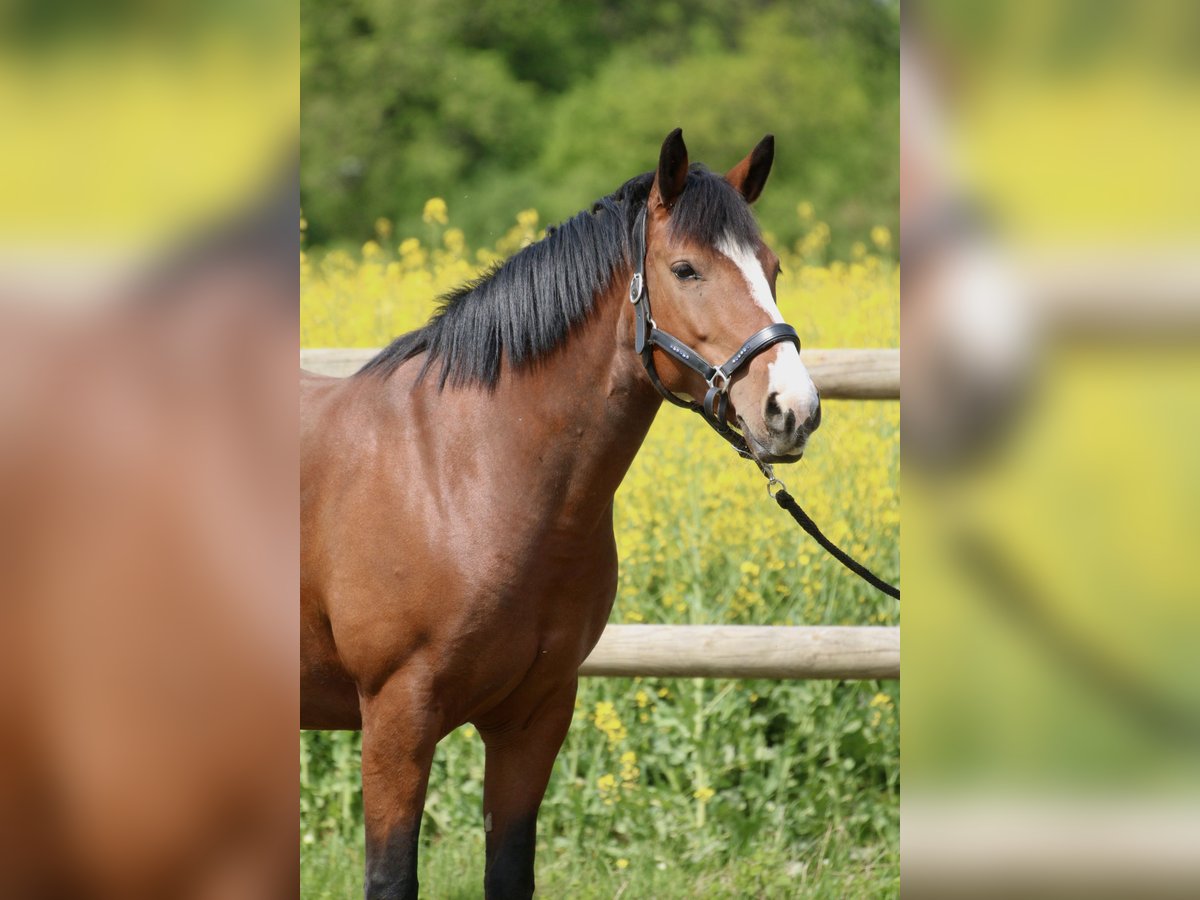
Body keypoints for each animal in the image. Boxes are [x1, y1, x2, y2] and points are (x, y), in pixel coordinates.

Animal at [304, 128, 820, 900]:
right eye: (686, 269)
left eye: (773, 268)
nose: (792, 409)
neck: (460, 474)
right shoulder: (396, 718)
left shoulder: (536, 715)